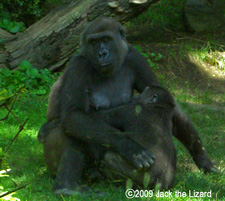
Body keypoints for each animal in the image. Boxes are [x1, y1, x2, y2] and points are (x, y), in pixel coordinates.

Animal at [37, 16, 219, 195]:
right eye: (94, 42)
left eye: (106, 39)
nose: (102, 53)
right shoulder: (78, 65)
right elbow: (74, 114)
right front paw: (130, 147)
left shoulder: (136, 58)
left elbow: (172, 106)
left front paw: (202, 158)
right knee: (70, 128)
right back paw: (67, 186)